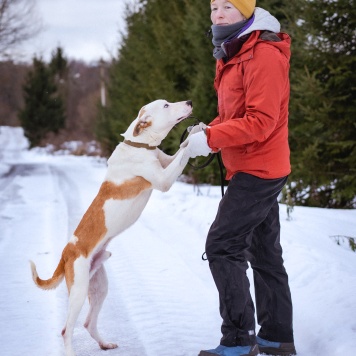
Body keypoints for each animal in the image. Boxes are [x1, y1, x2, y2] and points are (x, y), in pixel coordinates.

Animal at [29, 99, 192, 356]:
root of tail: (66, 253)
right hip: (78, 292)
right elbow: (184, 153)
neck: (140, 144)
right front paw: (198, 137)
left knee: (88, 323)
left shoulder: (165, 162)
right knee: (66, 330)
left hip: (99, 286)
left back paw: (104, 344)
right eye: (166, 105)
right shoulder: (164, 180)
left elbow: (178, 152)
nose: (190, 102)